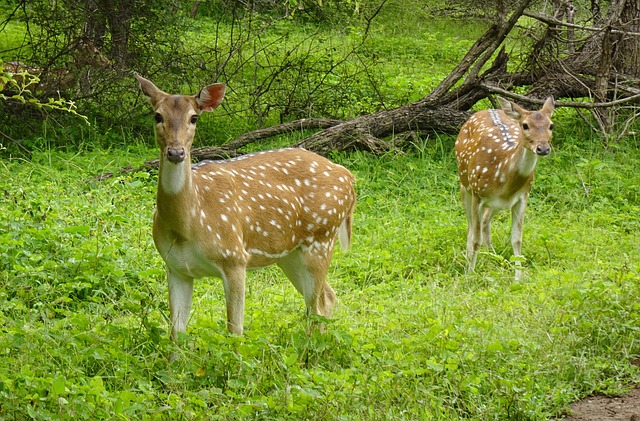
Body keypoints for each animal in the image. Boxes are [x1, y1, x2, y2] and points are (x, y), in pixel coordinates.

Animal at [135, 74, 356, 340]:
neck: (187, 225)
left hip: (322, 237)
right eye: (157, 116)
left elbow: (235, 330)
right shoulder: (175, 266)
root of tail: (349, 177)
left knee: (316, 306)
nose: (176, 152)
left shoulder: (235, 257)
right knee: (327, 297)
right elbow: (176, 333)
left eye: (194, 117)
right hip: (290, 253)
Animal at [456, 96, 556, 278]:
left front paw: (518, 278)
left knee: (485, 220)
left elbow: (517, 239)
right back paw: (469, 257)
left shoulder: (522, 197)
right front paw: (470, 274)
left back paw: (492, 254)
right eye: (525, 125)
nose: (543, 148)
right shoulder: (477, 194)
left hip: (497, 204)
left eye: (551, 125)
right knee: (470, 225)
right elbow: (475, 239)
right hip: (465, 183)